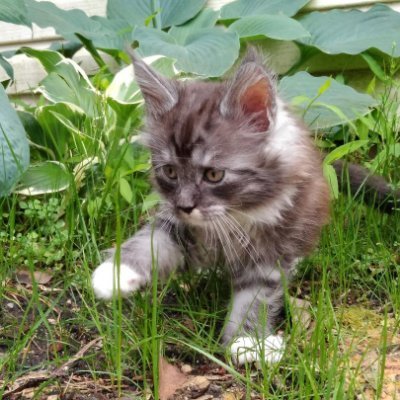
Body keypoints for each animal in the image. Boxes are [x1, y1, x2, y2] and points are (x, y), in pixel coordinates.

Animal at [92, 48, 330, 364]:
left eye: (214, 175)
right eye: (170, 172)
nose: (185, 206)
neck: (234, 217)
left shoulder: (273, 247)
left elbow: (256, 294)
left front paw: (246, 341)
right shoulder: (176, 224)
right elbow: (151, 241)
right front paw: (116, 272)